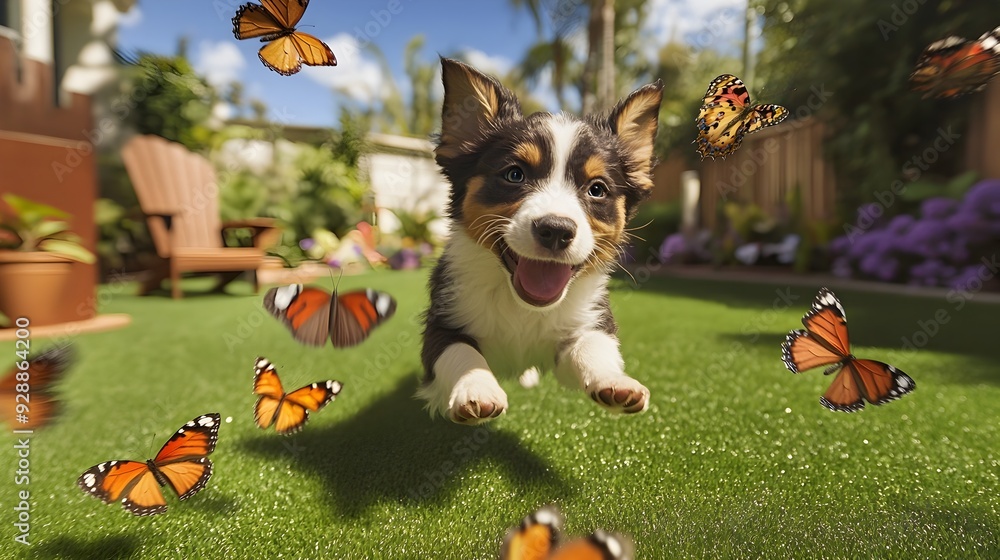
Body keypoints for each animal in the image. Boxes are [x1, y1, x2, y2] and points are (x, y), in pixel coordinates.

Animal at [418, 58, 660, 424]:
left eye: (597, 189)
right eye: (514, 174)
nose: (556, 230)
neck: (521, 306)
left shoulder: (587, 321)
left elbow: (593, 346)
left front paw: (616, 382)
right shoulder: (442, 321)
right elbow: (460, 352)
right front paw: (476, 388)